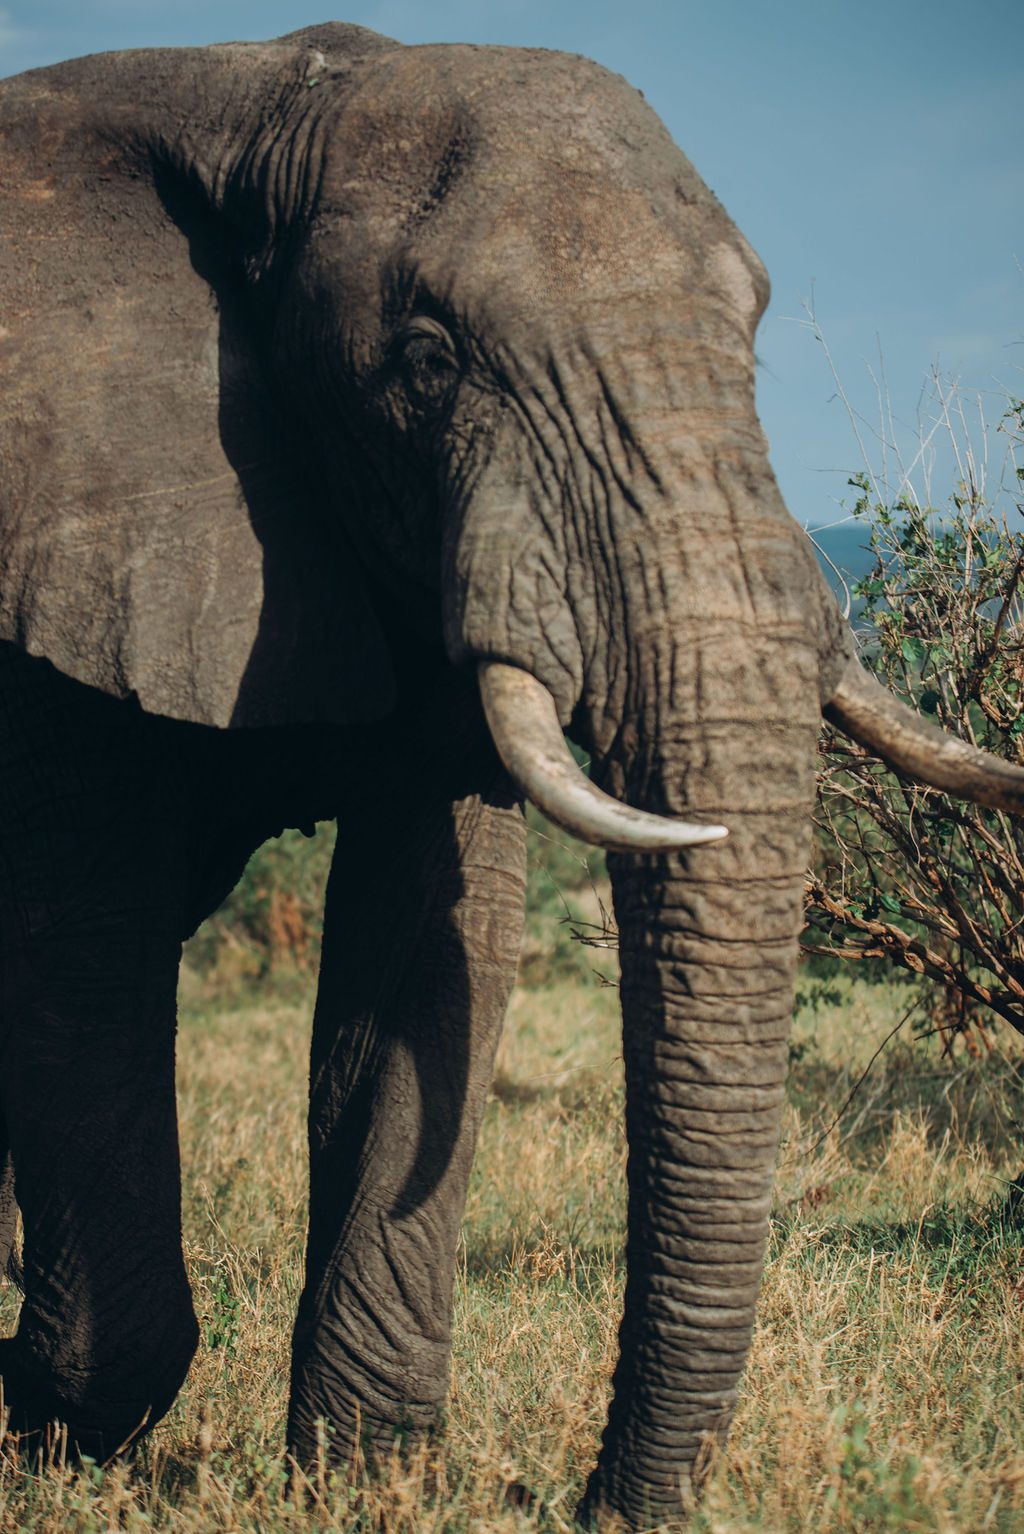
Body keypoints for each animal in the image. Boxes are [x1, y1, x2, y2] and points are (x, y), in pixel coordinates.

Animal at [1, 21, 1022, 1529]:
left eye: (754, 329)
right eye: (426, 363)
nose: (586, 1500)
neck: (272, 93)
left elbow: (431, 949)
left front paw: (365, 1487)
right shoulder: (61, 527)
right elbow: (78, 959)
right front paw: (44, 1429)